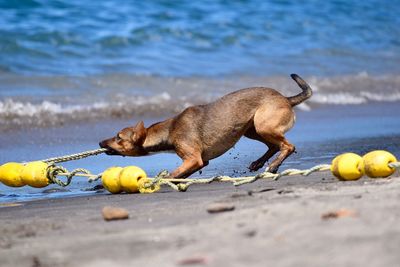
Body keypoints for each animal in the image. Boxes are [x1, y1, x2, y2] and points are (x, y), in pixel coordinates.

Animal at [100, 74, 312, 178]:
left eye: (118, 137)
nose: (100, 143)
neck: (169, 130)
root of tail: (285, 98)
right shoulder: (201, 161)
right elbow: (181, 174)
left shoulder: (193, 159)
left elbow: (173, 174)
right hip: (252, 130)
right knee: (275, 146)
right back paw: (260, 163)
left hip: (263, 126)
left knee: (288, 146)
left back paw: (273, 166)